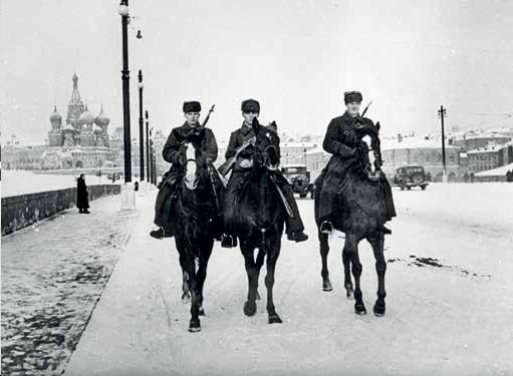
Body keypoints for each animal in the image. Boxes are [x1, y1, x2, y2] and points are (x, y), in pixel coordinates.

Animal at [169, 142, 221, 332]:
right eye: (181, 154)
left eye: (199, 152)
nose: (190, 180)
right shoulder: (186, 241)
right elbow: (191, 273)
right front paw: (193, 319)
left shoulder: (207, 242)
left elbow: (201, 275)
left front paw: (199, 306)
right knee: (183, 264)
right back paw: (185, 294)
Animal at [226, 119, 286, 324]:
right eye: (259, 140)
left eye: (277, 139)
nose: (273, 159)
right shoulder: (246, 243)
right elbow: (251, 273)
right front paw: (250, 306)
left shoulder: (274, 243)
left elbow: (269, 278)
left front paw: (272, 312)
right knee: (250, 269)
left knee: (258, 267)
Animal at [312, 121, 388, 318]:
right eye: (360, 146)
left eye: (377, 141)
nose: (373, 171)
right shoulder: (353, 235)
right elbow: (357, 268)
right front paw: (360, 304)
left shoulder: (377, 236)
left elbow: (381, 265)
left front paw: (380, 304)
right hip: (321, 228)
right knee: (325, 250)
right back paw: (327, 282)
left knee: (344, 254)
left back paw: (348, 287)